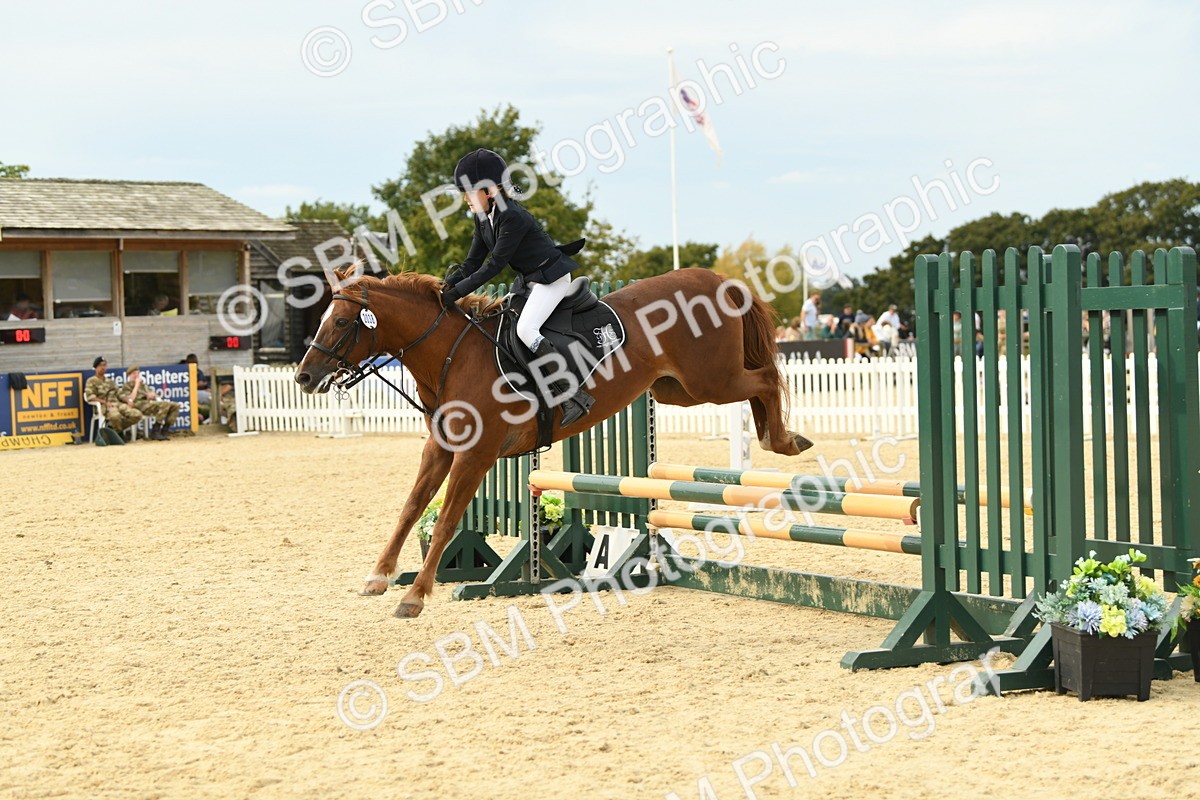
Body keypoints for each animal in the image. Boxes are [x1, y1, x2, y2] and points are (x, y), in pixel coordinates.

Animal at [295, 268, 812, 618]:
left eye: (340, 323)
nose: (304, 377)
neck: (452, 355)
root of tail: (718, 279)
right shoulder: (440, 448)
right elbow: (410, 509)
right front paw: (379, 577)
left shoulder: (476, 455)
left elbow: (443, 523)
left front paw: (415, 597)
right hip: (676, 389)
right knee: (757, 382)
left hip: (711, 380)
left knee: (766, 378)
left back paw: (784, 440)